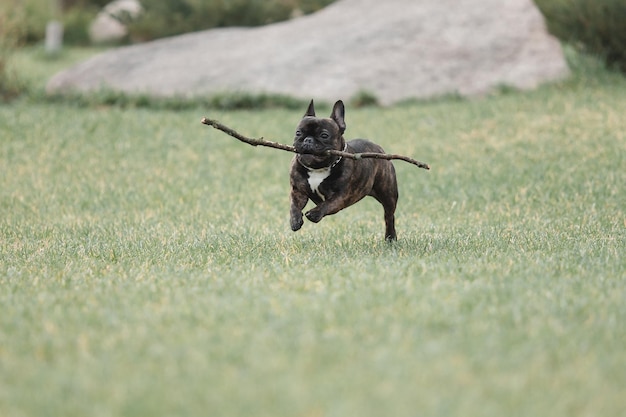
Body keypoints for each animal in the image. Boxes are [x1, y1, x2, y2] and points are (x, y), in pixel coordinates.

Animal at [286, 98, 394, 239]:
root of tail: (379, 148)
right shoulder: (298, 191)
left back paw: (390, 237)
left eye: (324, 135)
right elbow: (294, 205)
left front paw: (314, 214)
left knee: (389, 216)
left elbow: (327, 204)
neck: (318, 169)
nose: (308, 140)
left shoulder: (340, 196)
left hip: (388, 194)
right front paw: (295, 220)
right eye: (298, 133)